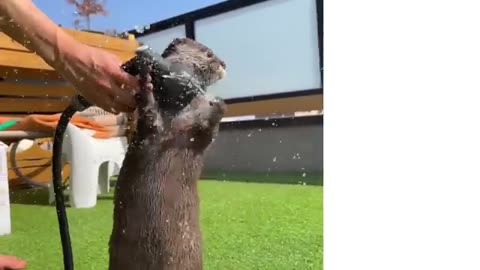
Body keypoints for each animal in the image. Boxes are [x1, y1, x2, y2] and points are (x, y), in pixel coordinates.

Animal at [108, 38, 227, 270]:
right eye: (209, 54)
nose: (224, 63)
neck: (179, 116)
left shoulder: (197, 137)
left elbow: (208, 131)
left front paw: (219, 103)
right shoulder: (150, 129)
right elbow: (149, 114)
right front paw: (145, 84)